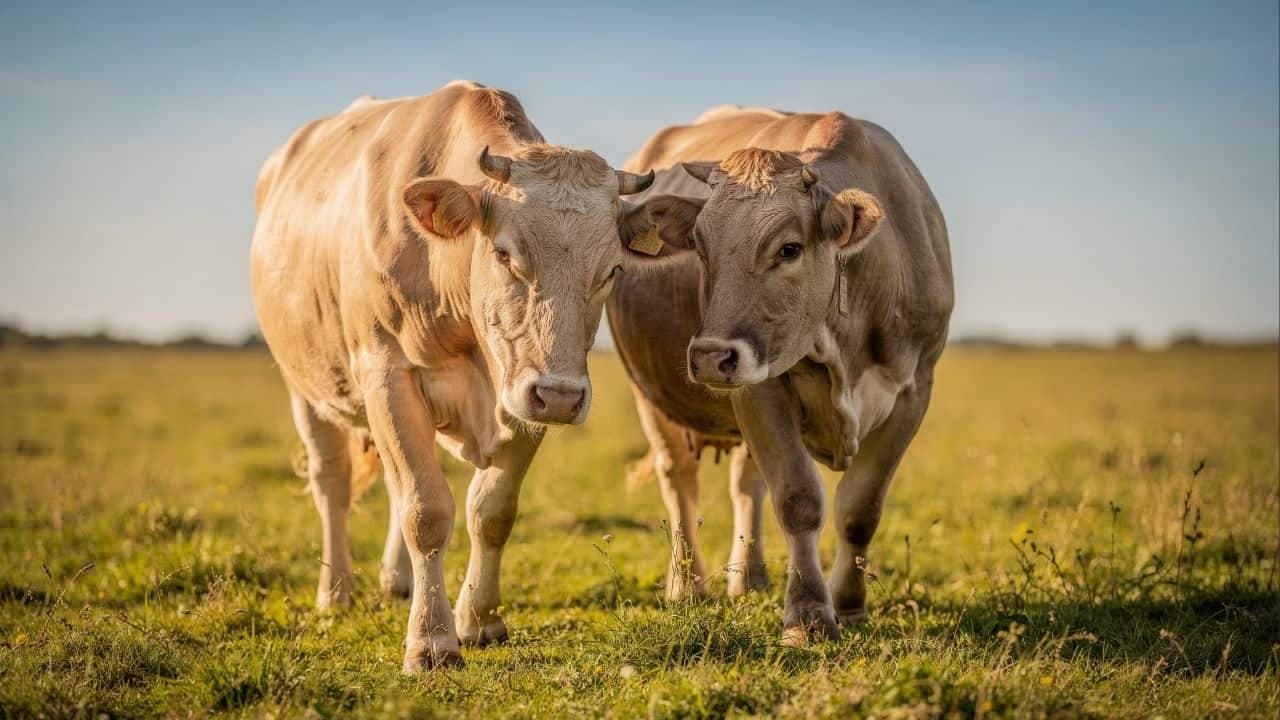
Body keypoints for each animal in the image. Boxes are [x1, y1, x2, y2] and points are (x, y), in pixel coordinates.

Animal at [250, 81, 655, 671]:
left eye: (612, 270)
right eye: (505, 254)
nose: (561, 397)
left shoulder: (520, 392)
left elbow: (490, 510)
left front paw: (479, 619)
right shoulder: (388, 375)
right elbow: (426, 510)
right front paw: (432, 640)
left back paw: (396, 582)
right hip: (305, 386)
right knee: (332, 483)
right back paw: (336, 591)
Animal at [608, 106, 953, 644]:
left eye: (789, 249)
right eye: (700, 247)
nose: (710, 357)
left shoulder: (914, 391)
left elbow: (860, 509)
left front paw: (850, 605)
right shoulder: (760, 390)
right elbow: (797, 499)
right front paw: (808, 614)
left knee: (745, 484)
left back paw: (749, 578)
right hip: (650, 394)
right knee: (678, 480)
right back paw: (687, 586)